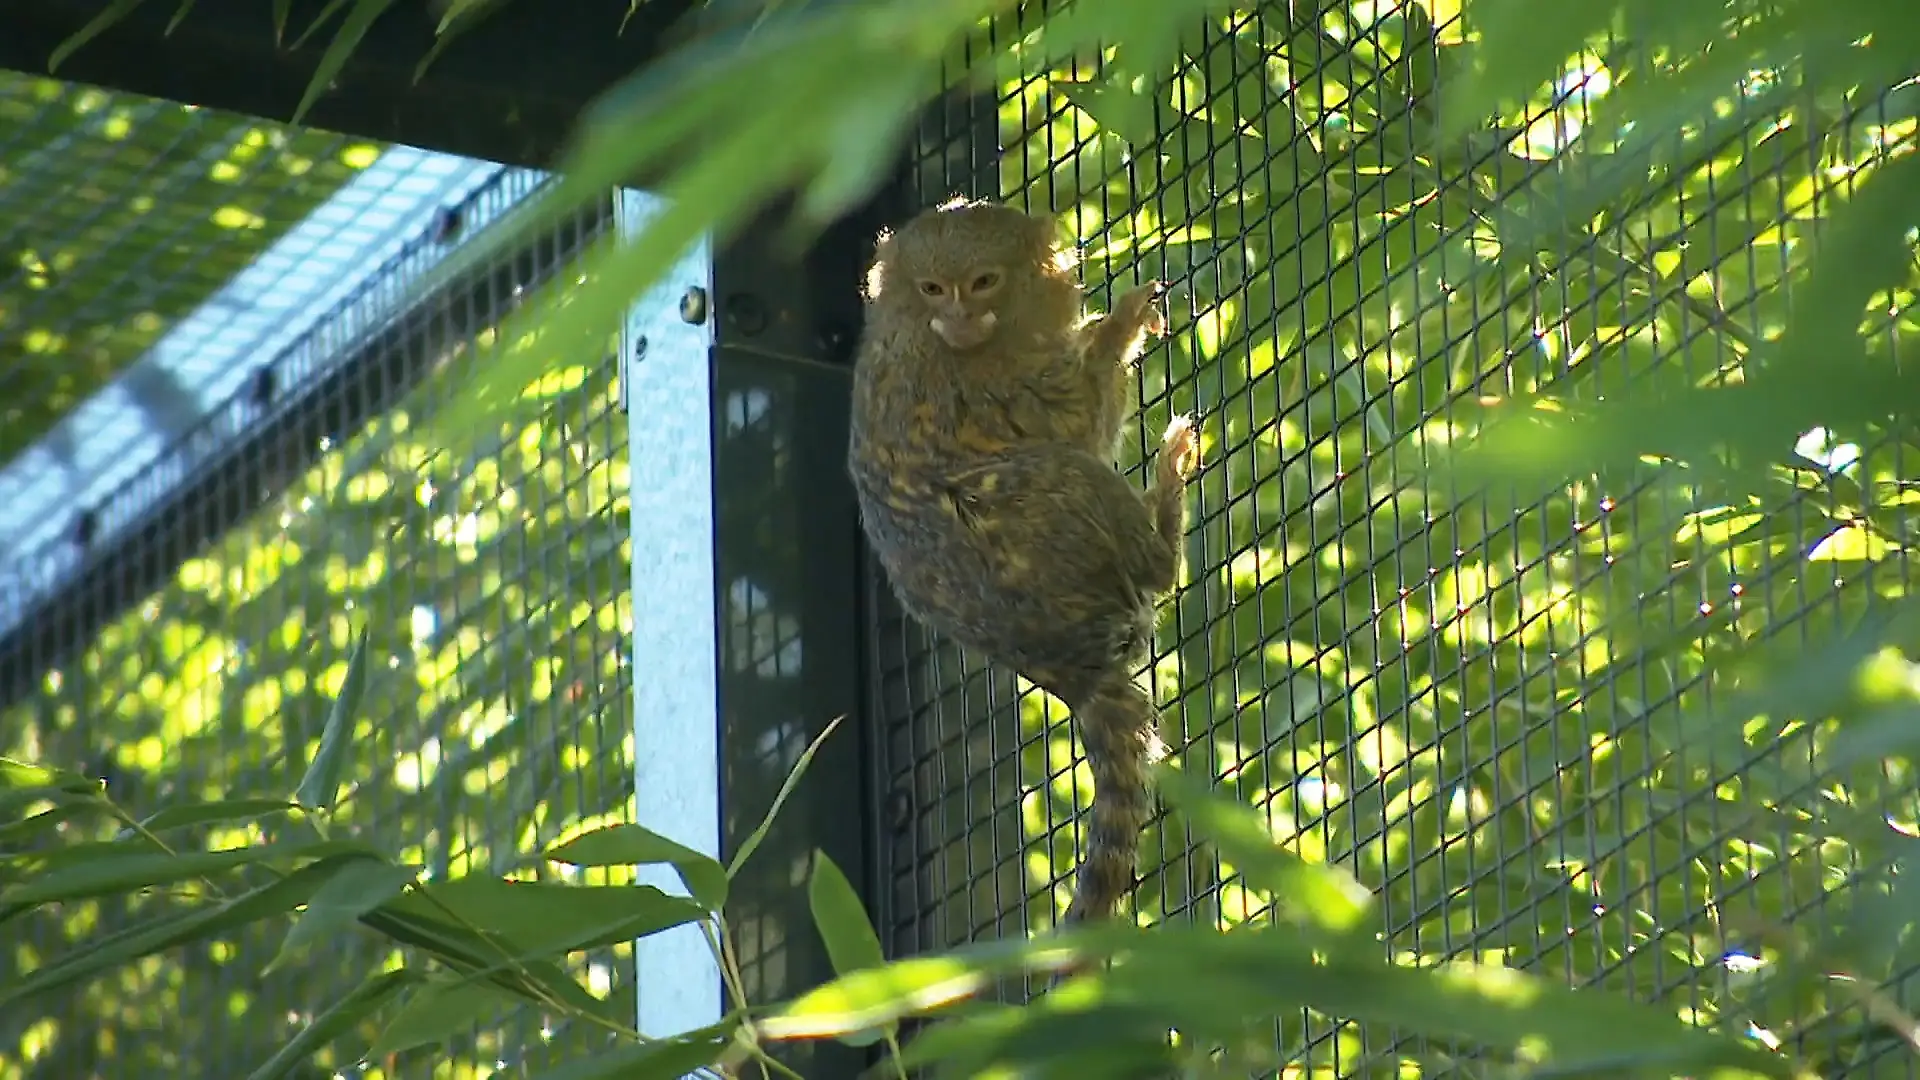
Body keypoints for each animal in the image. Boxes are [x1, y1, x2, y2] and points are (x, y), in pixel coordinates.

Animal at [845, 197, 1200, 927]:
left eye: (982, 282)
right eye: (932, 289)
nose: (957, 316)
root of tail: (1070, 671)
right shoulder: (981, 389)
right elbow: (1080, 422)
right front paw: (1120, 325)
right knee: (1071, 479)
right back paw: (1166, 511)